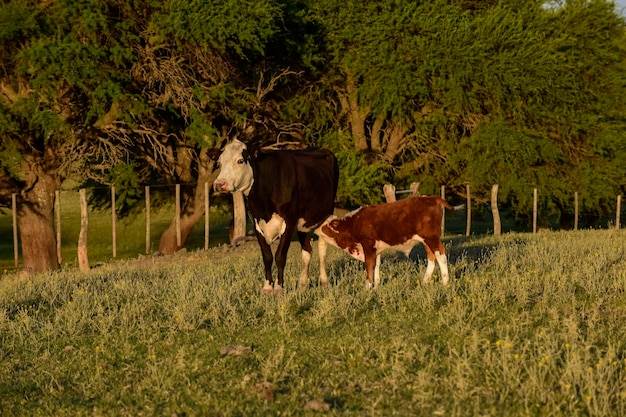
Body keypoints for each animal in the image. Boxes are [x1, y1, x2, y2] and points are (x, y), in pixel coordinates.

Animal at [212, 138, 338, 294]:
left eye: (240, 160)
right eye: (219, 163)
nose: (219, 184)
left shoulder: (289, 221)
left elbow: (280, 256)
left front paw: (278, 288)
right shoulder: (256, 223)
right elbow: (267, 257)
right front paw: (267, 288)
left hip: (326, 214)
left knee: (322, 248)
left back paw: (324, 282)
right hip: (303, 222)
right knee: (307, 250)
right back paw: (302, 285)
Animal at [314, 196, 450, 288]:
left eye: (329, 224)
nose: (316, 227)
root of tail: (431, 198)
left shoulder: (368, 245)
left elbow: (369, 265)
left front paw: (368, 287)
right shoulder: (376, 248)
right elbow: (377, 264)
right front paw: (377, 285)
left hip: (431, 238)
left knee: (441, 254)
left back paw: (445, 283)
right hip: (426, 240)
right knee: (432, 256)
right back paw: (425, 281)